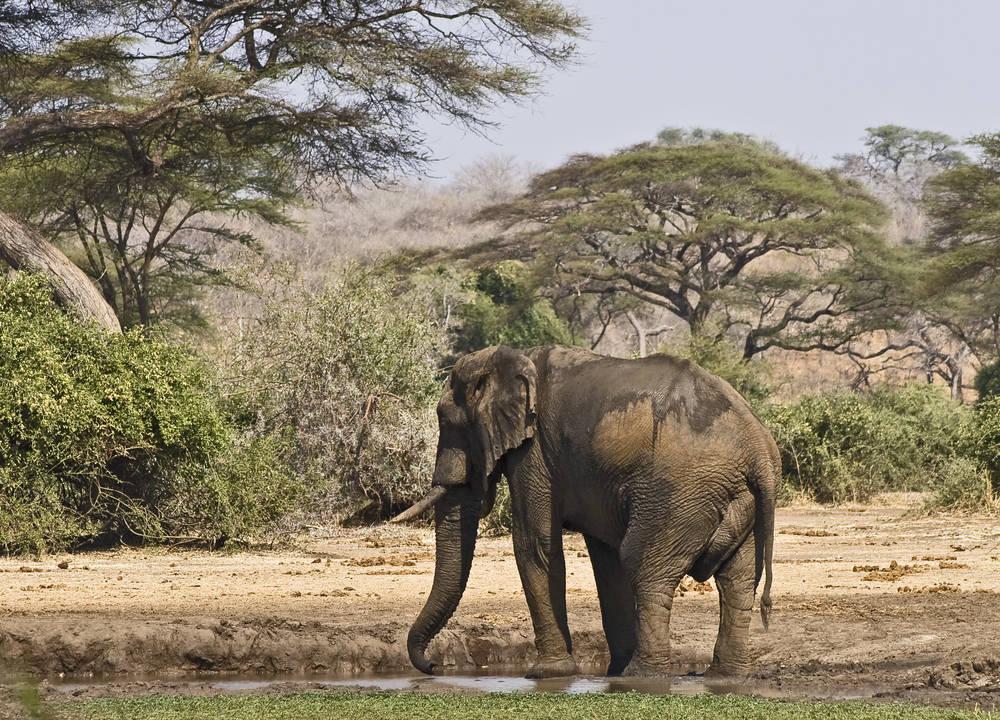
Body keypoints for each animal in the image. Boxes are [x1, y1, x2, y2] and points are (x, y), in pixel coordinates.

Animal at [394, 346, 776, 676]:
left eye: (447, 422)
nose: (433, 666)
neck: (507, 358)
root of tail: (758, 447)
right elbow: (605, 560)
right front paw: (610, 672)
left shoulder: (535, 452)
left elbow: (535, 544)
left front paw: (548, 674)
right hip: (736, 499)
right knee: (737, 581)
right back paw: (722, 676)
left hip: (680, 489)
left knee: (645, 567)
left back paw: (642, 677)